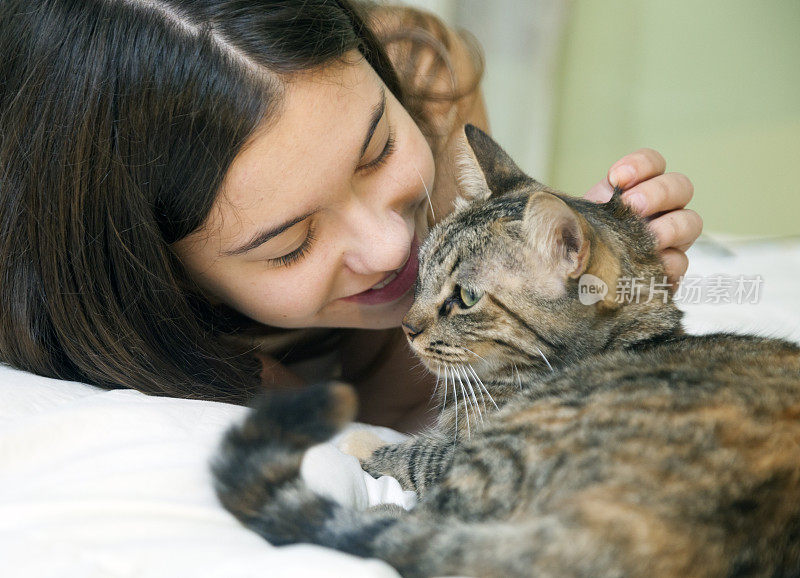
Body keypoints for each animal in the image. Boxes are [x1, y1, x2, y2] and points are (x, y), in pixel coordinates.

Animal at [211, 124, 800, 572]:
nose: (406, 326)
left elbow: (411, 451)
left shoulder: (458, 455)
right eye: (420, 271)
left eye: (467, 297)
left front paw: (357, 439)